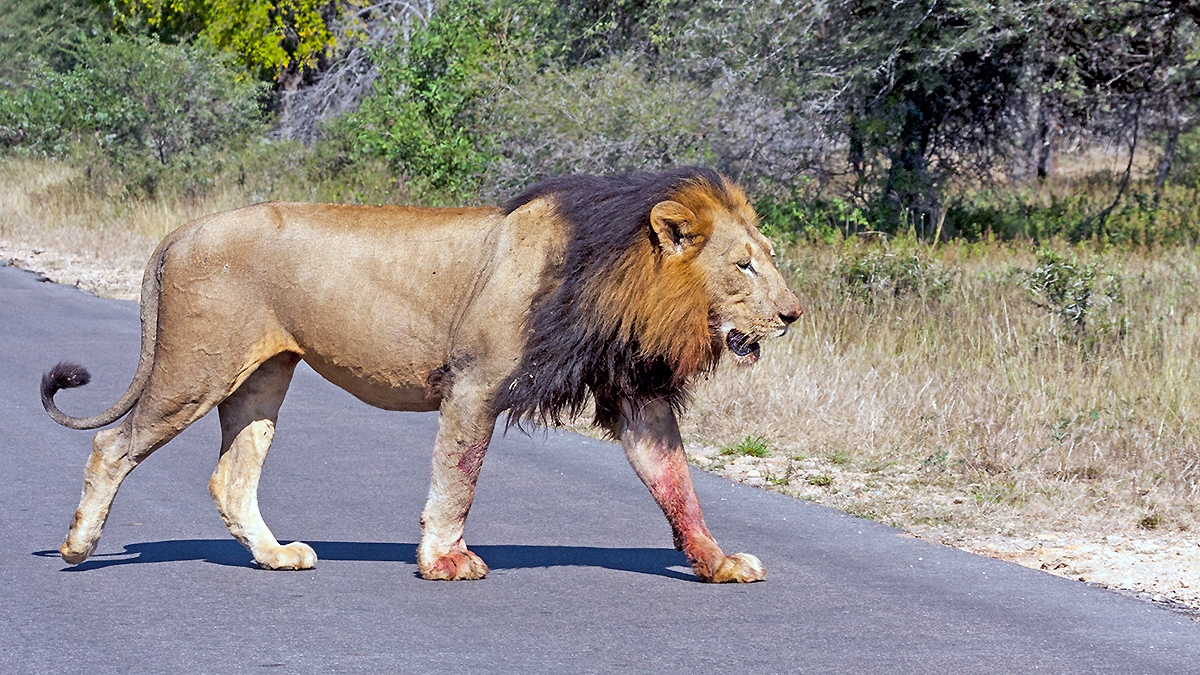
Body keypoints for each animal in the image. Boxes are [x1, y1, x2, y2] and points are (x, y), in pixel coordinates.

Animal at [42, 167, 803, 583]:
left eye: (769, 256)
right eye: (743, 266)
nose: (793, 314)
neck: (621, 276)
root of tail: (179, 232)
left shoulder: (637, 393)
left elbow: (677, 486)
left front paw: (718, 562)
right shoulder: (475, 382)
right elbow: (457, 477)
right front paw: (443, 560)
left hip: (261, 378)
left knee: (230, 478)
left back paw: (276, 555)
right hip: (195, 369)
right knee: (112, 445)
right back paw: (78, 546)